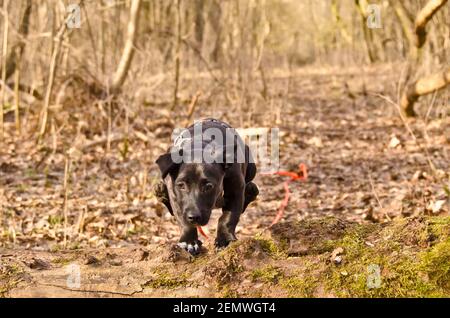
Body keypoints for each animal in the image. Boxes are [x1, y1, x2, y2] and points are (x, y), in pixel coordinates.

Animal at [156, 118, 258, 255]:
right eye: (181, 185)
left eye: (209, 186)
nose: (194, 217)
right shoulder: (175, 196)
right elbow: (181, 218)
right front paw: (189, 241)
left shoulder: (236, 190)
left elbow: (228, 218)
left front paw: (225, 239)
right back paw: (161, 192)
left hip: (252, 167)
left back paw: (250, 190)